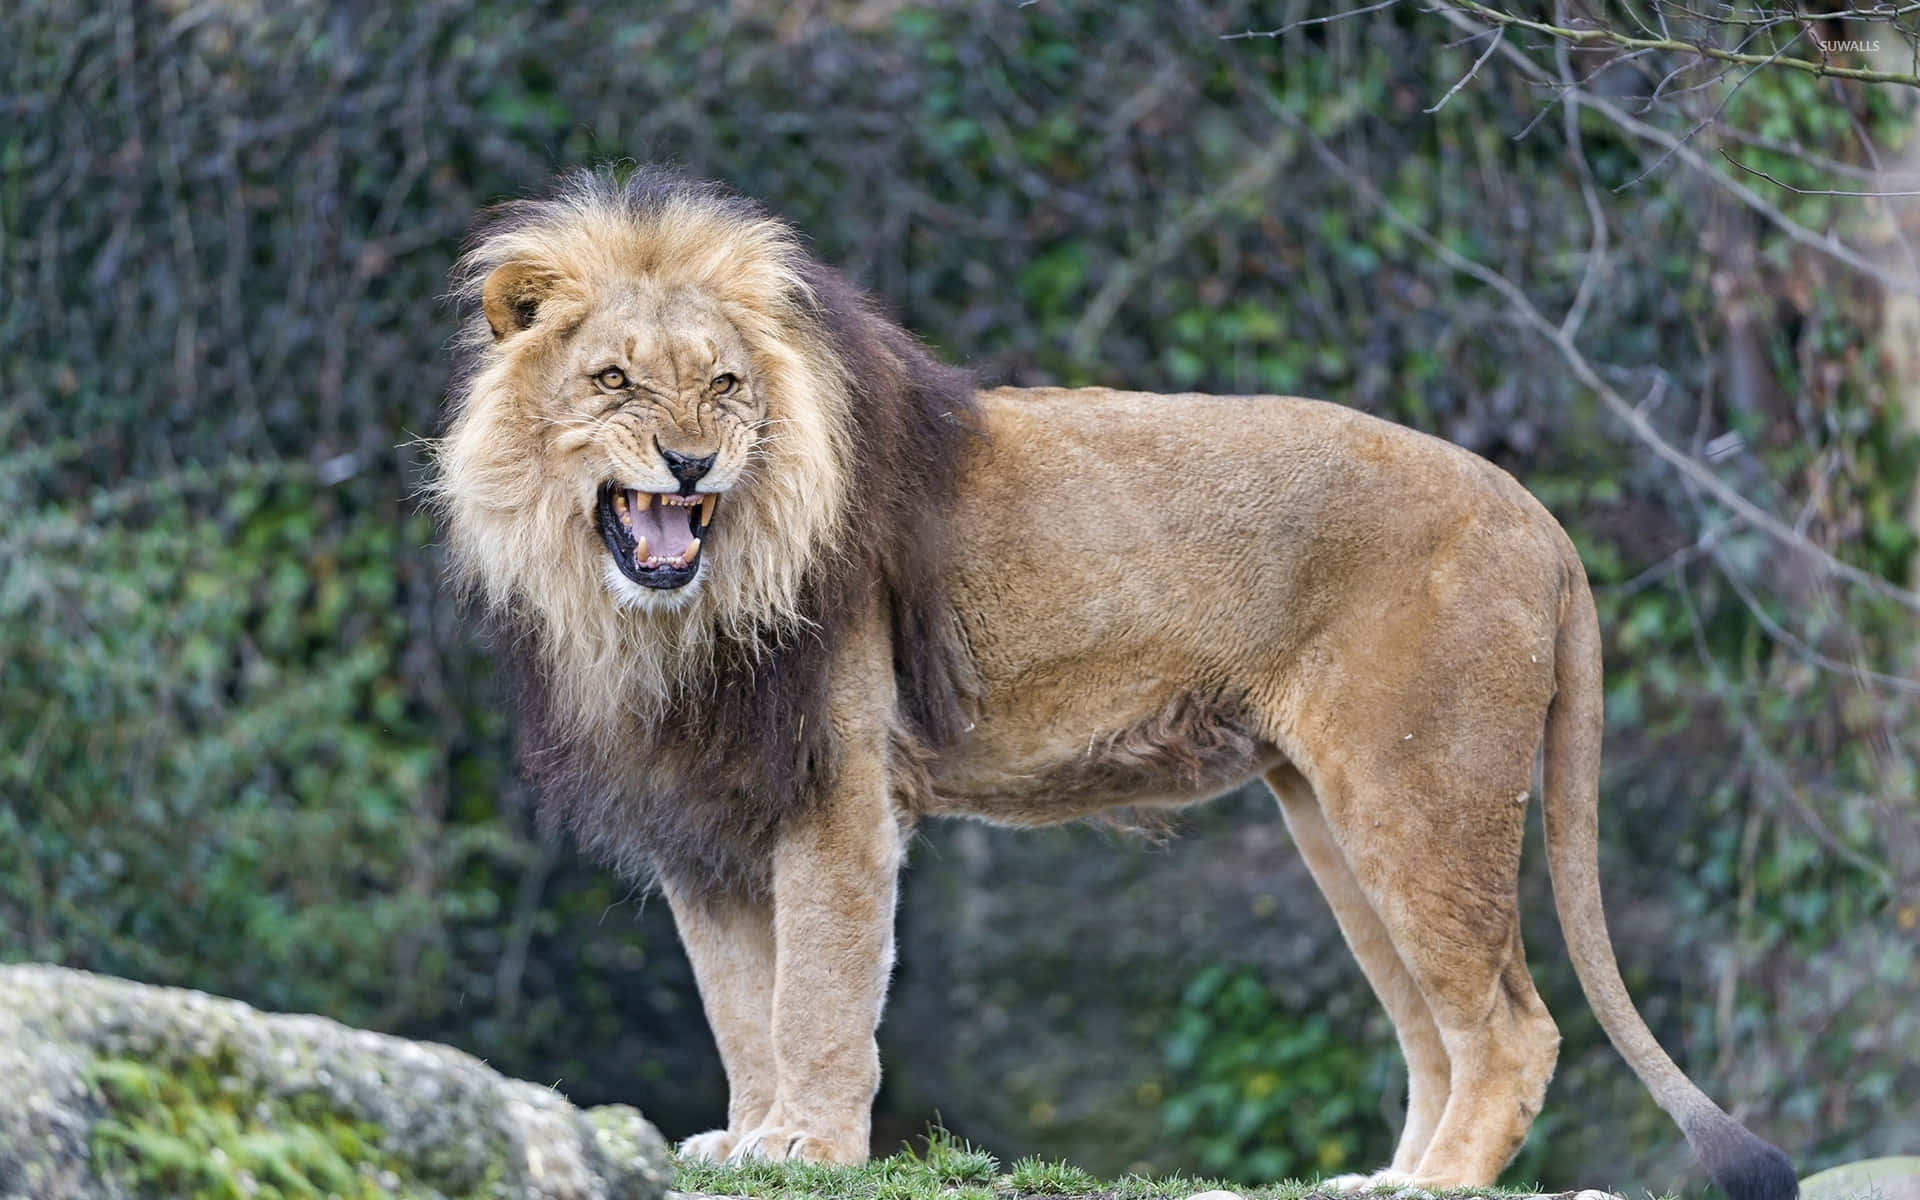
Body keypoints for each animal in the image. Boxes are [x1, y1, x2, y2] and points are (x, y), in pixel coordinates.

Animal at [431, 166, 1797, 1200]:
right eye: (613, 380)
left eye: (724, 384)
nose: (691, 462)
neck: (670, 619)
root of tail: (1540, 522)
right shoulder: (706, 814)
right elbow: (737, 999)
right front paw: (750, 1141)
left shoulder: (836, 792)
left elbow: (815, 992)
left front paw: (808, 1147)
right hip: (1336, 816)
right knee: (1433, 1029)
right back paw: (1389, 1180)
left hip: (1419, 794)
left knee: (1512, 1030)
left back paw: (1439, 1186)